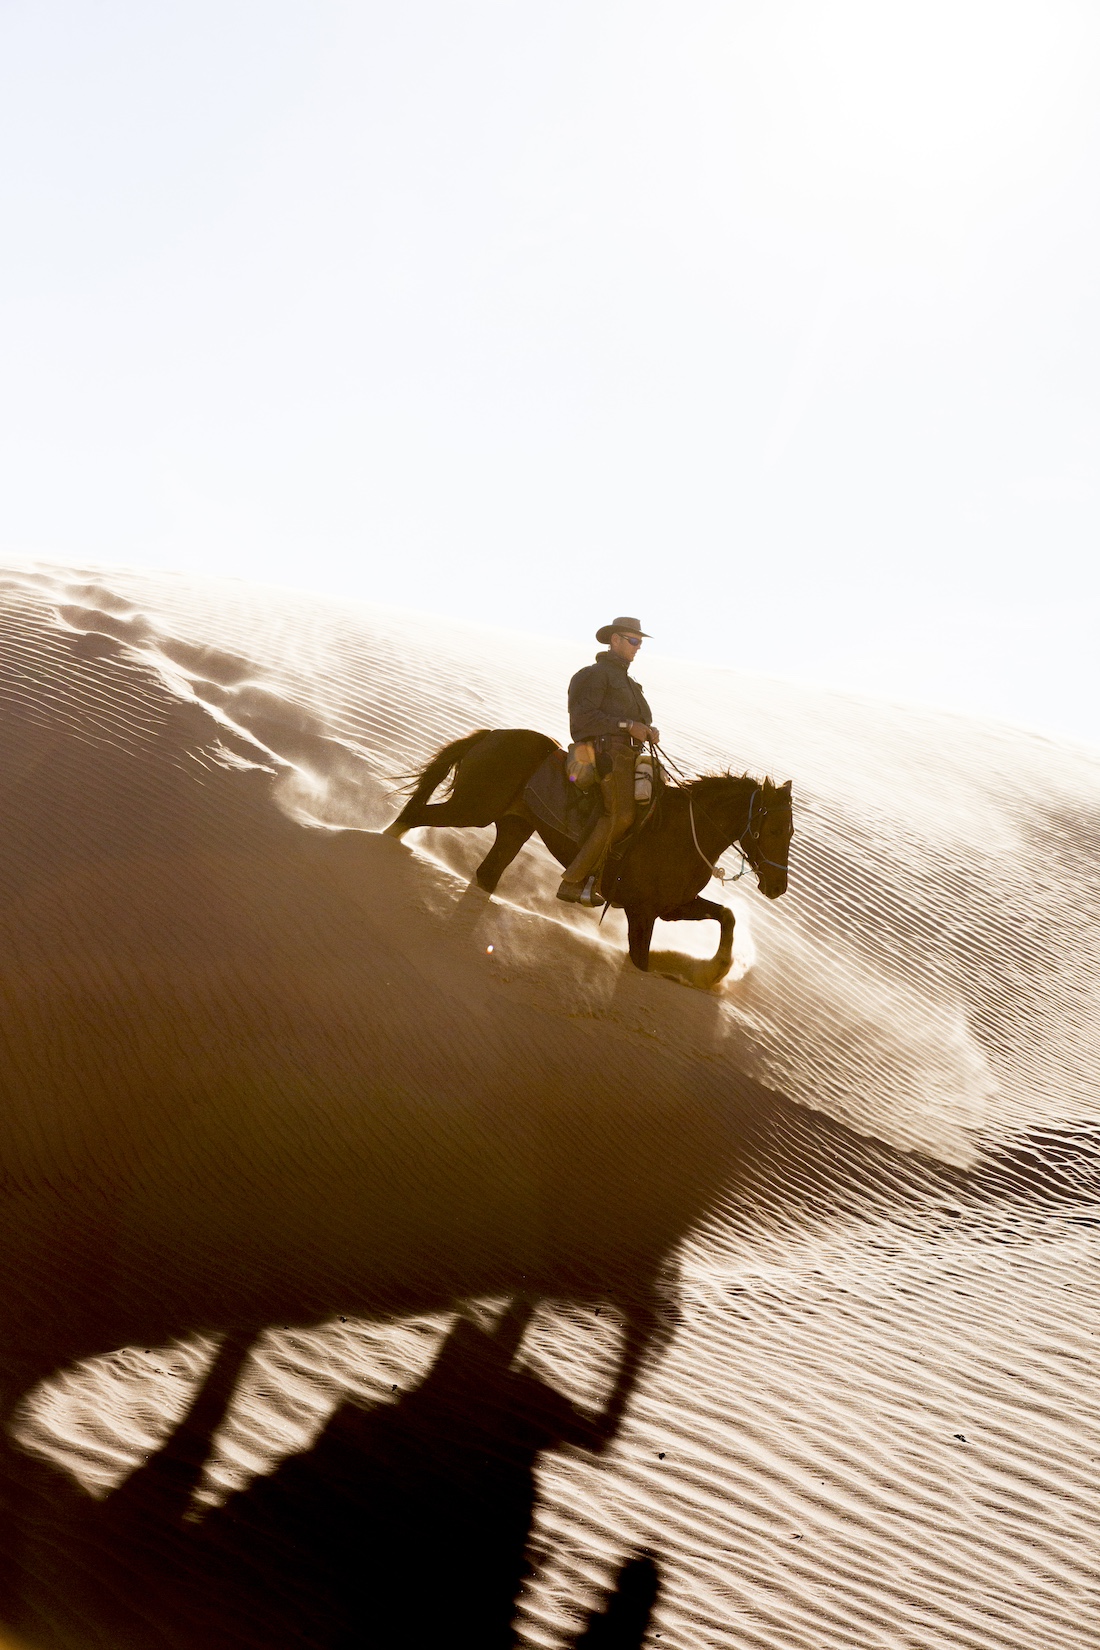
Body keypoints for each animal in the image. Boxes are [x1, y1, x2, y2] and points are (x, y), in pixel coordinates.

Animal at [387, 732, 791, 976]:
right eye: (773, 830)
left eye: (789, 832)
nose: (778, 887)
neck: (685, 834)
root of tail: (492, 735)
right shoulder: (642, 912)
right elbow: (640, 961)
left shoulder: (674, 907)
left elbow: (727, 916)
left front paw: (717, 970)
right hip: (472, 809)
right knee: (415, 814)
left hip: (513, 828)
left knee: (487, 872)